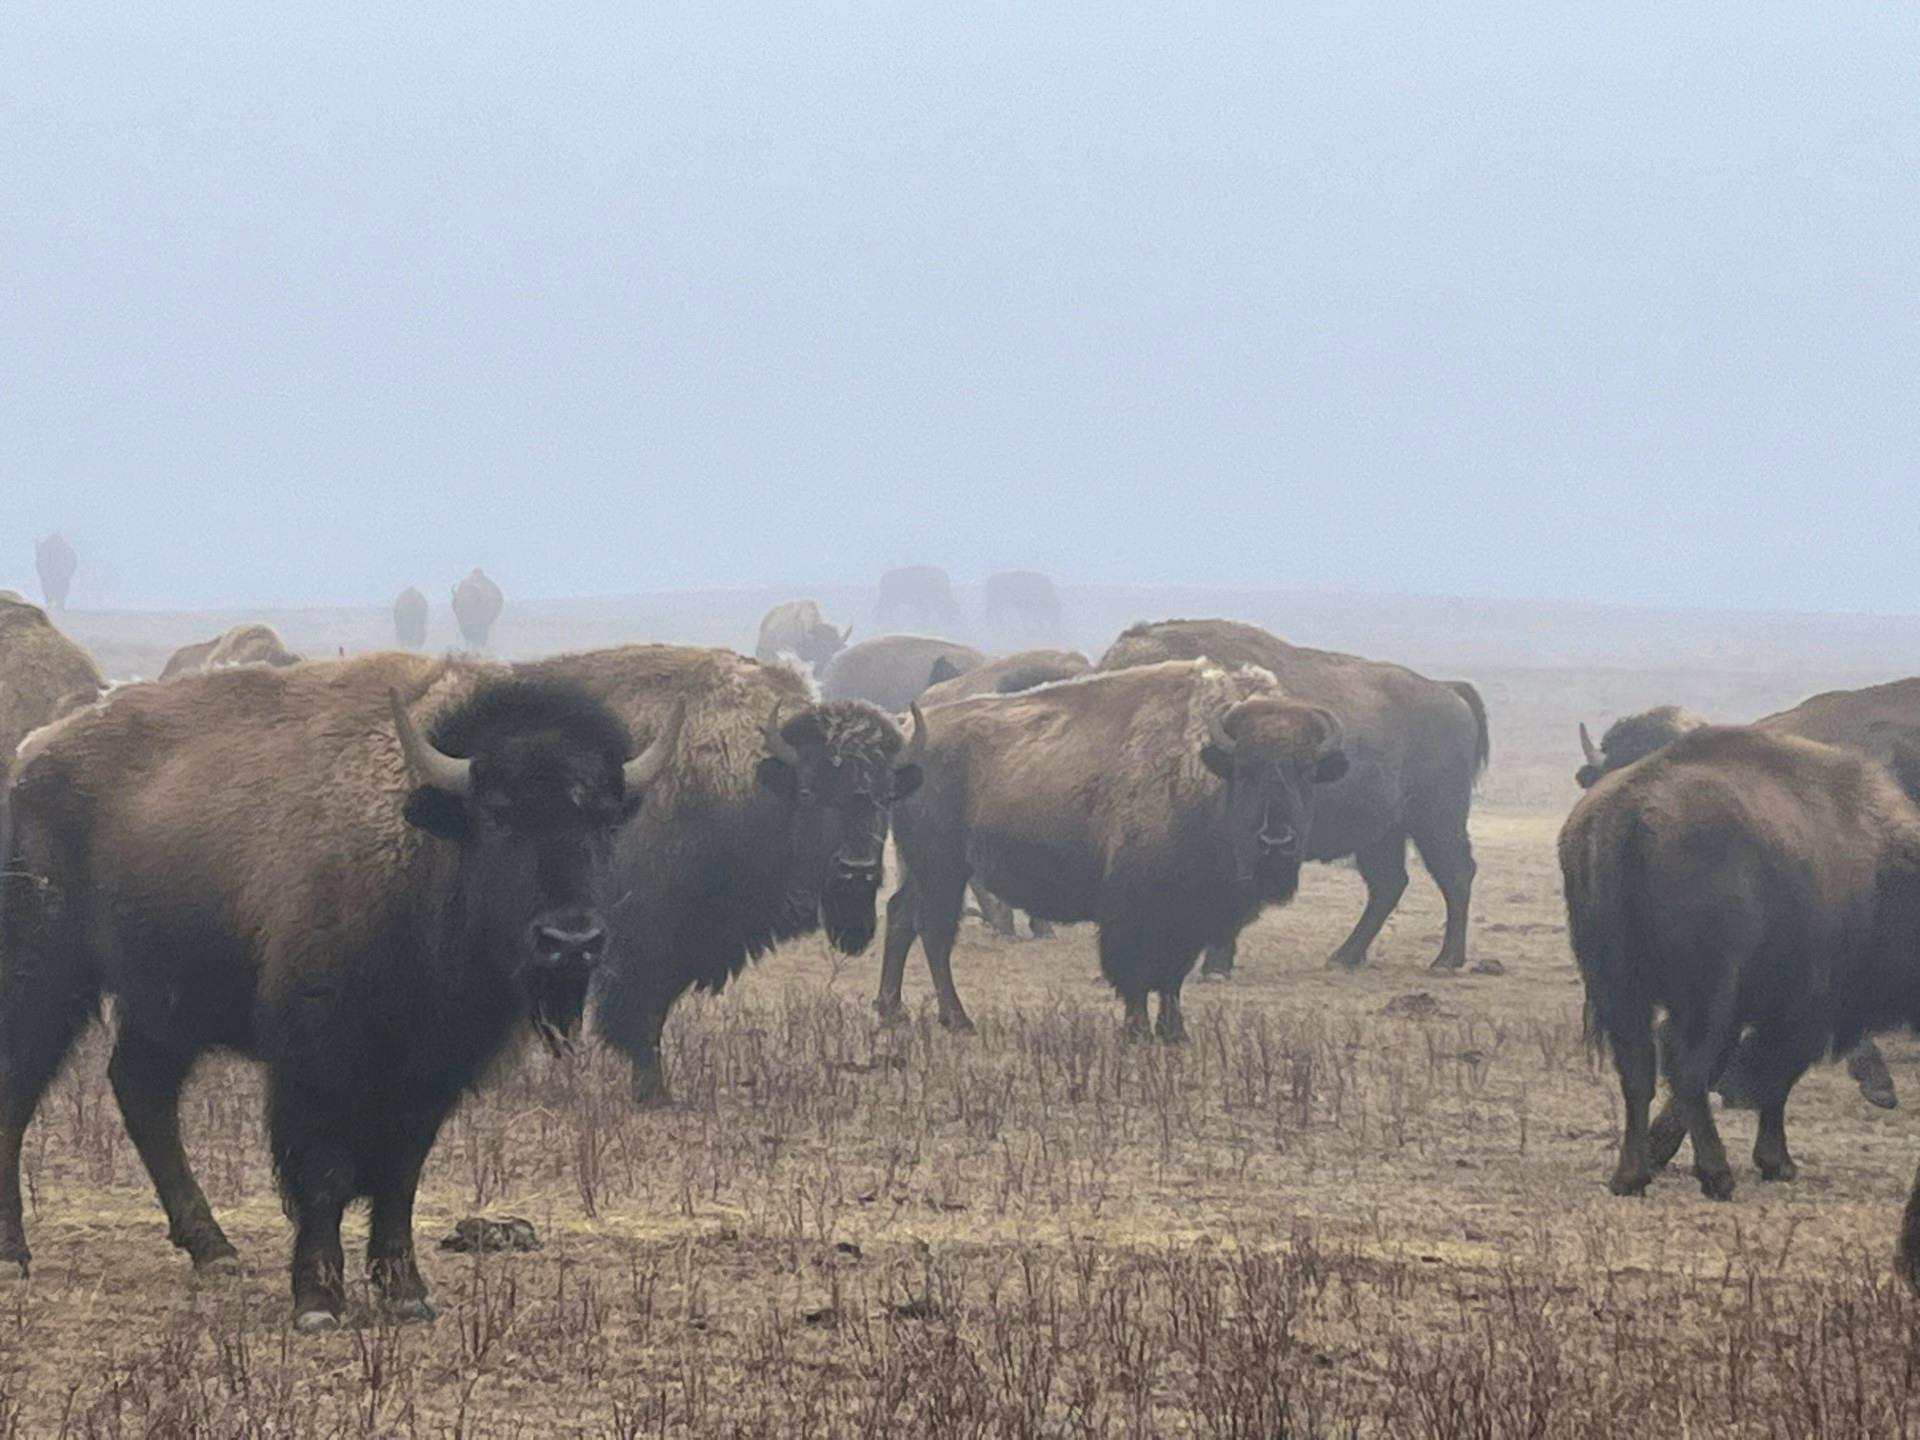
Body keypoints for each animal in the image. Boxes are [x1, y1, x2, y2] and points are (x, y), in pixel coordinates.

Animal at [0, 654, 679, 1328]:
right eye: (498, 814)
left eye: (603, 820)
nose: (571, 940)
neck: (421, 846)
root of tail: (34, 757)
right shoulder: (317, 1062)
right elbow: (323, 1173)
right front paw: (319, 1301)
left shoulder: (430, 1072)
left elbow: (400, 1174)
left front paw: (407, 1292)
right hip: (48, 977)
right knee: (20, 1089)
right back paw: (15, 1254)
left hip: (166, 1005)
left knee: (142, 1091)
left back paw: (214, 1250)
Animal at [518, 646, 924, 1103]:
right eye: (808, 792)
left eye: (885, 797)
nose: (857, 871)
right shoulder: (641, 942)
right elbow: (639, 1015)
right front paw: (654, 1093)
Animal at [879, 660, 1347, 1037]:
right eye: (1247, 770)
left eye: (1307, 772)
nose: (1276, 842)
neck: (1205, 770)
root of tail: (908, 733)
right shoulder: (1133, 908)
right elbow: (1134, 971)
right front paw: (1137, 1031)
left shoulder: (1186, 918)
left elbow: (1172, 977)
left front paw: (1175, 1033)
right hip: (941, 870)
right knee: (935, 934)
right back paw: (958, 1020)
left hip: (923, 868)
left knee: (901, 917)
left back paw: (892, 1012)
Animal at [1099, 620, 1491, 976]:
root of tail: (1449, 693)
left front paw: (1215, 967)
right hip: (1382, 835)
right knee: (1389, 884)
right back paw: (1343, 957)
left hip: (1437, 823)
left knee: (1455, 875)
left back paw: (1444, 961)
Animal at [1562, 725, 1920, 1200]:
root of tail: (1630, 810)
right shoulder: (1802, 1008)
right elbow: (1774, 1078)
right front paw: (1777, 1162)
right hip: (1704, 992)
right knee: (1688, 1072)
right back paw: (1716, 1175)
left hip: (1619, 987)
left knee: (1639, 1074)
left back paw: (1631, 1176)